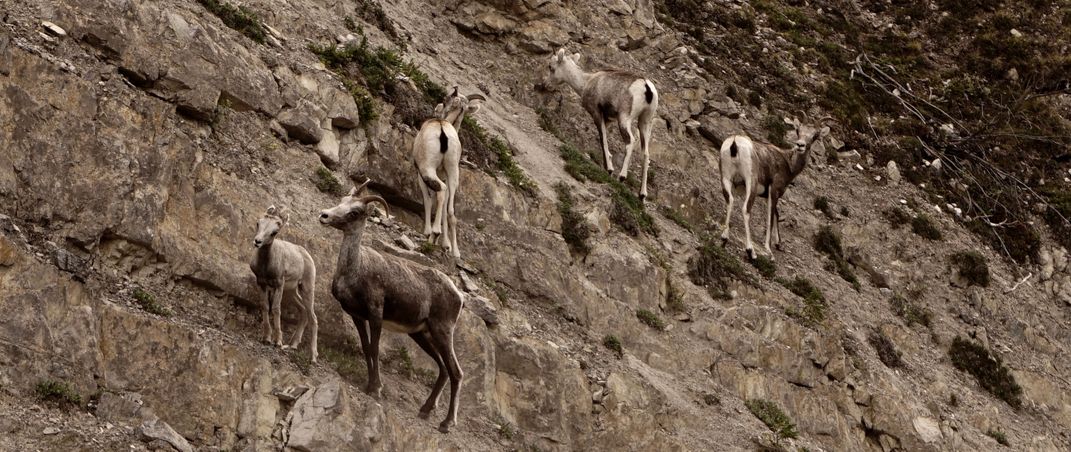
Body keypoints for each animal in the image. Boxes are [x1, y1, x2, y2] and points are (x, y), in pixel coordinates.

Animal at [249, 204, 317, 364]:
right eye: (258, 223)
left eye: (274, 232)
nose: (257, 241)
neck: (266, 264)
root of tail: (306, 254)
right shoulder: (261, 283)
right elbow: (265, 306)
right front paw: (266, 339)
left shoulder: (278, 284)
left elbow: (276, 309)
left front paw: (277, 342)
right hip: (291, 291)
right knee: (303, 311)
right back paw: (292, 345)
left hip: (306, 288)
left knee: (313, 317)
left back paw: (312, 357)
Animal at [319, 177, 466, 432]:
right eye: (342, 200)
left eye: (354, 211)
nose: (324, 215)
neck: (356, 270)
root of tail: (459, 295)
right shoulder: (357, 315)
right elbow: (366, 347)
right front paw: (370, 386)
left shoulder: (376, 313)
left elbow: (375, 348)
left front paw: (376, 390)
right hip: (420, 334)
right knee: (443, 369)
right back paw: (424, 411)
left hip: (442, 331)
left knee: (456, 372)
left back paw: (446, 424)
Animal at [548, 47, 655, 199]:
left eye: (551, 67)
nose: (547, 84)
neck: (586, 82)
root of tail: (646, 87)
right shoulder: (608, 120)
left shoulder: (597, 114)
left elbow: (602, 138)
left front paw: (609, 169)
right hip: (645, 123)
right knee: (645, 154)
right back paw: (642, 195)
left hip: (624, 119)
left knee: (630, 142)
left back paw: (621, 177)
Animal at [719, 118, 826, 259]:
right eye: (798, 130)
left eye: (815, 135)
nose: (800, 145)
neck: (787, 162)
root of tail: (735, 142)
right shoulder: (774, 190)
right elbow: (770, 217)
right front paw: (769, 250)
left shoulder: (765, 194)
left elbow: (775, 213)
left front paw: (778, 243)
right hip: (751, 183)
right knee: (746, 209)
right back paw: (751, 251)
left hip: (726, 179)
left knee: (729, 200)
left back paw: (724, 239)